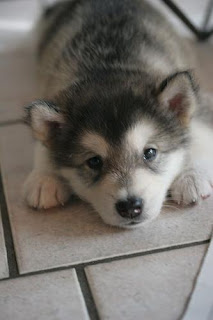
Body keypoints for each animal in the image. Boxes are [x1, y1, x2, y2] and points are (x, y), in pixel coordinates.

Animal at [23, 0, 213, 228]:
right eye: (94, 161)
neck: (109, 66)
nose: (130, 207)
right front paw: (45, 178)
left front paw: (192, 175)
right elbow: (42, 144)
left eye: (150, 152)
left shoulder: (199, 109)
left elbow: (198, 135)